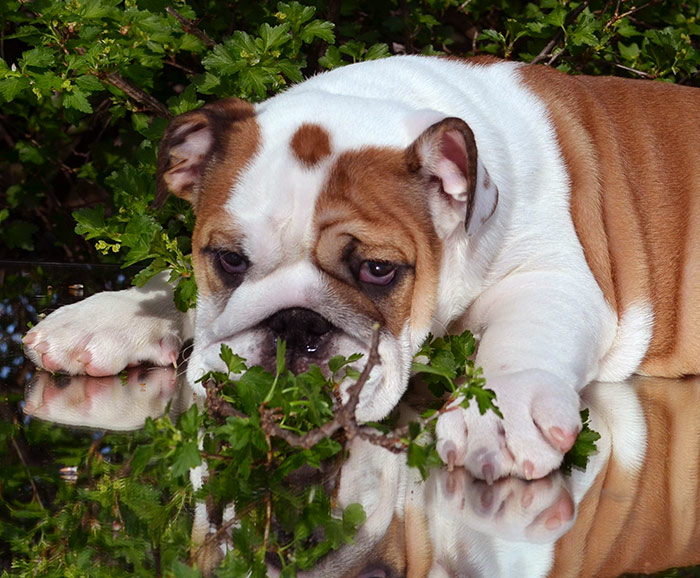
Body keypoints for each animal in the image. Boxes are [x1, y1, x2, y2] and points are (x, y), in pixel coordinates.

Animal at [24, 56, 700, 482]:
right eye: (230, 260)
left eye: (378, 271)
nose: (295, 325)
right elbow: (176, 285)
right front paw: (106, 316)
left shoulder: (553, 276)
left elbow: (521, 343)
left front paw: (498, 418)